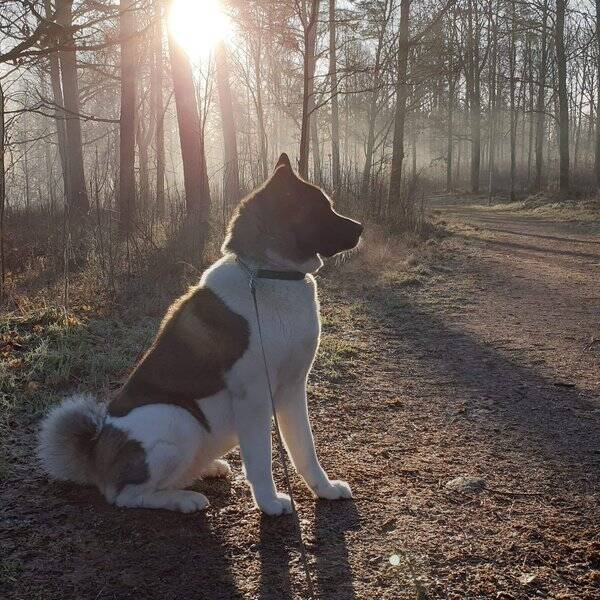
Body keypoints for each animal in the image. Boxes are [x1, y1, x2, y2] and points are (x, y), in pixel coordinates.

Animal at [41, 154, 366, 516]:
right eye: (321, 209)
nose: (361, 228)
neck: (268, 274)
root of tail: (96, 452)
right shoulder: (254, 397)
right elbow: (261, 460)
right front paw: (269, 502)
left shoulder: (293, 390)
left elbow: (305, 450)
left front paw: (324, 489)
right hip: (178, 418)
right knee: (127, 495)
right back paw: (183, 499)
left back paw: (208, 468)